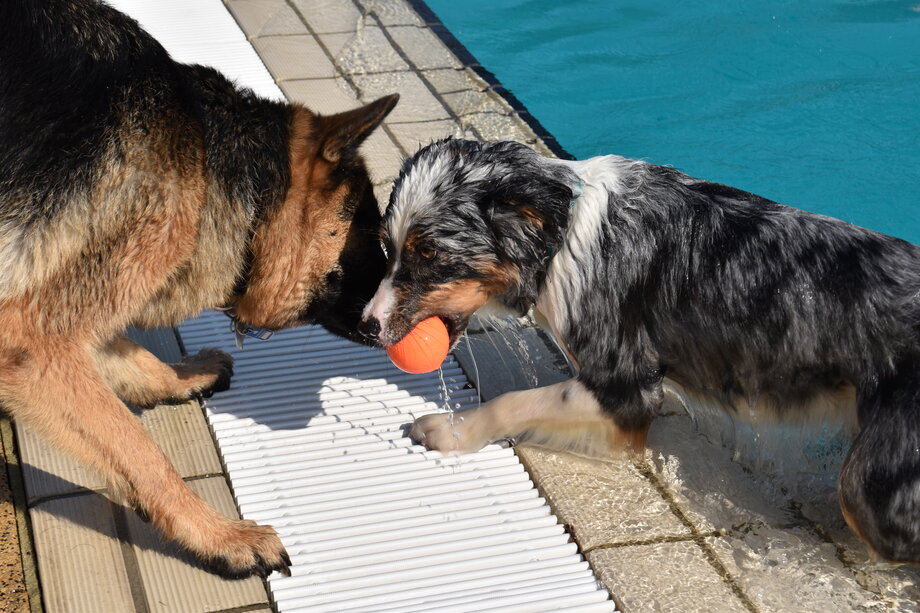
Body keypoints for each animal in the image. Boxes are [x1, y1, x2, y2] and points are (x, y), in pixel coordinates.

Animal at [2, 0, 398, 576]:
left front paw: (177, 376)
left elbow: (122, 349)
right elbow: (139, 450)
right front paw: (218, 534)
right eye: (372, 235)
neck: (207, 156)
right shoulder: (29, 341)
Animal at [358, 139, 920, 564]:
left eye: (429, 254)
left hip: (872, 484)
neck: (561, 233)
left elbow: (516, 401)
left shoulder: (626, 385)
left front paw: (451, 430)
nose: (366, 325)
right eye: (387, 246)